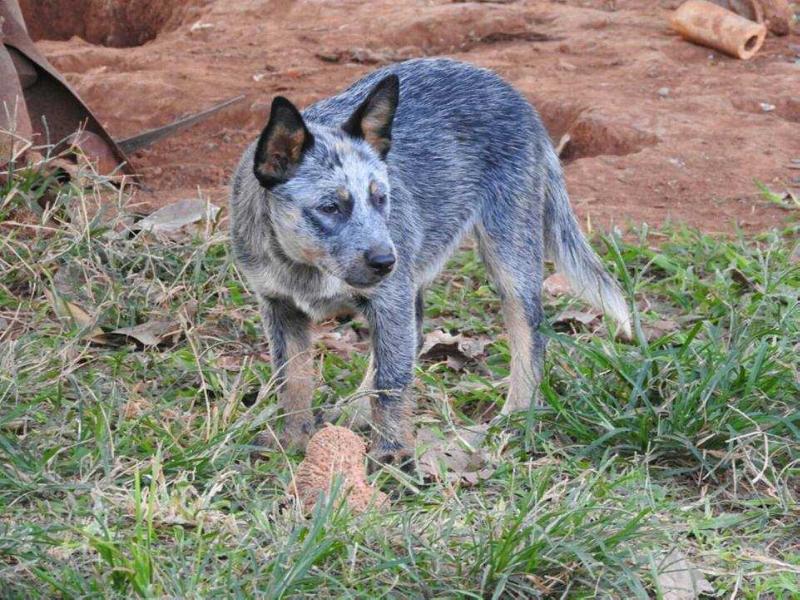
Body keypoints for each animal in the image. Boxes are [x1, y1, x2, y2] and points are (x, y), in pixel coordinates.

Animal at [228, 57, 628, 464]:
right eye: (330, 207)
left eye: (381, 198)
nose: (386, 260)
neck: (306, 269)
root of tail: (508, 90)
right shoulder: (279, 305)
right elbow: (292, 380)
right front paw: (290, 442)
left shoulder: (390, 296)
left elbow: (392, 383)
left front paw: (391, 455)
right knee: (413, 334)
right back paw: (354, 411)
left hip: (510, 249)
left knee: (530, 335)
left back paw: (514, 420)